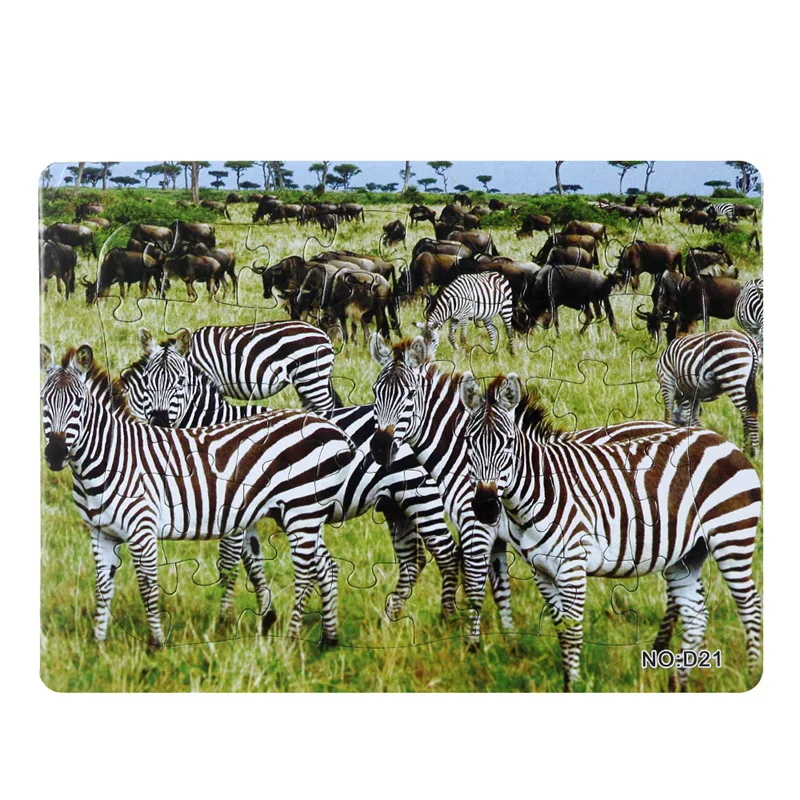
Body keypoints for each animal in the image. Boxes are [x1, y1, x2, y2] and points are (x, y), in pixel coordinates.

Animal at [40, 343, 357, 647]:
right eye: (43, 401)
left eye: (79, 404)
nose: (55, 455)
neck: (112, 458)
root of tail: (330, 427)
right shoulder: (100, 533)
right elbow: (103, 589)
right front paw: (99, 644)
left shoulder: (143, 530)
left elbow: (148, 587)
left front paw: (156, 643)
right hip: (302, 513)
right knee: (327, 567)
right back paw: (328, 640)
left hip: (301, 510)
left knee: (304, 574)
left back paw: (290, 643)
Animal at [369, 333, 677, 643]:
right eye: (374, 392)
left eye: (409, 395)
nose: (379, 447)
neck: (462, 457)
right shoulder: (496, 535)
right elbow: (500, 589)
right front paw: (508, 639)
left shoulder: (476, 528)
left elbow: (475, 588)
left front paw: (473, 645)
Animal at [459, 371, 762, 691]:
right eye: (467, 442)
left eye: (507, 444)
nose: (485, 506)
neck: (541, 490)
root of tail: (721, 440)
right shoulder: (541, 571)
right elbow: (561, 630)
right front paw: (567, 682)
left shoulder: (572, 567)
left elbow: (572, 632)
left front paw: (574, 685)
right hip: (688, 555)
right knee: (696, 616)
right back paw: (678, 684)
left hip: (731, 537)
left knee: (749, 605)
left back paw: (752, 672)